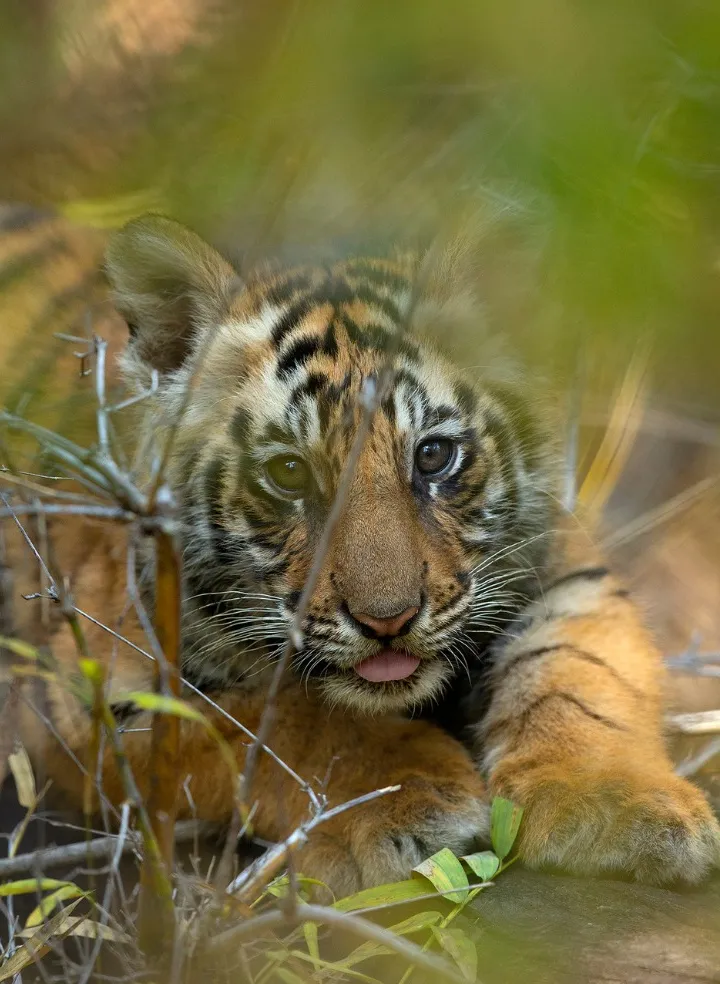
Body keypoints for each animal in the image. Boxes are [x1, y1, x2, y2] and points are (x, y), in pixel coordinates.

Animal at [4, 211, 719, 898]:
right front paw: (414, 793)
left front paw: (614, 807)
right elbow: (282, 720)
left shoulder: (569, 573)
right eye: (289, 473)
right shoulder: (84, 687)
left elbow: (579, 673)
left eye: (433, 456)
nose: (387, 621)